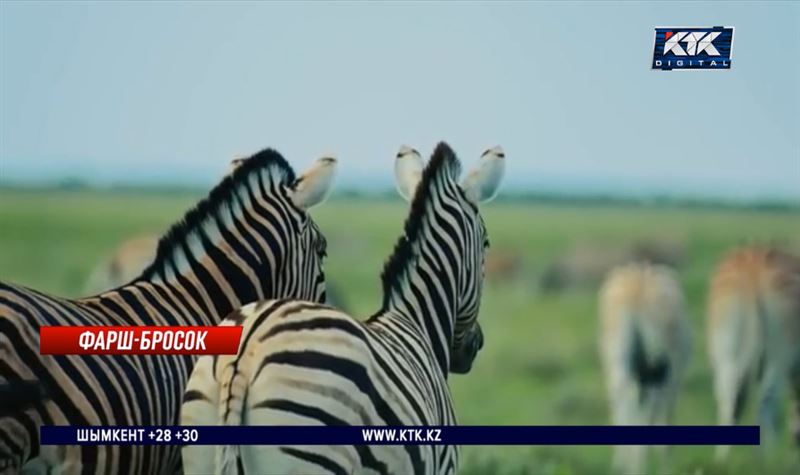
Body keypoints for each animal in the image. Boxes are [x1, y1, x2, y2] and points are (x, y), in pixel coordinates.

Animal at [596, 262, 692, 474]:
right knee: (646, 407)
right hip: (656, 374)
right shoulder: (668, 380)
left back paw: (623, 464)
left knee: (622, 402)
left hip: (620, 366)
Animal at [708, 247, 800, 460]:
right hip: (778, 356)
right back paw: (768, 460)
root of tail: (753, 274)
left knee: (727, 400)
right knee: (765, 402)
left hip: (726, 355)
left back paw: (724, 459)